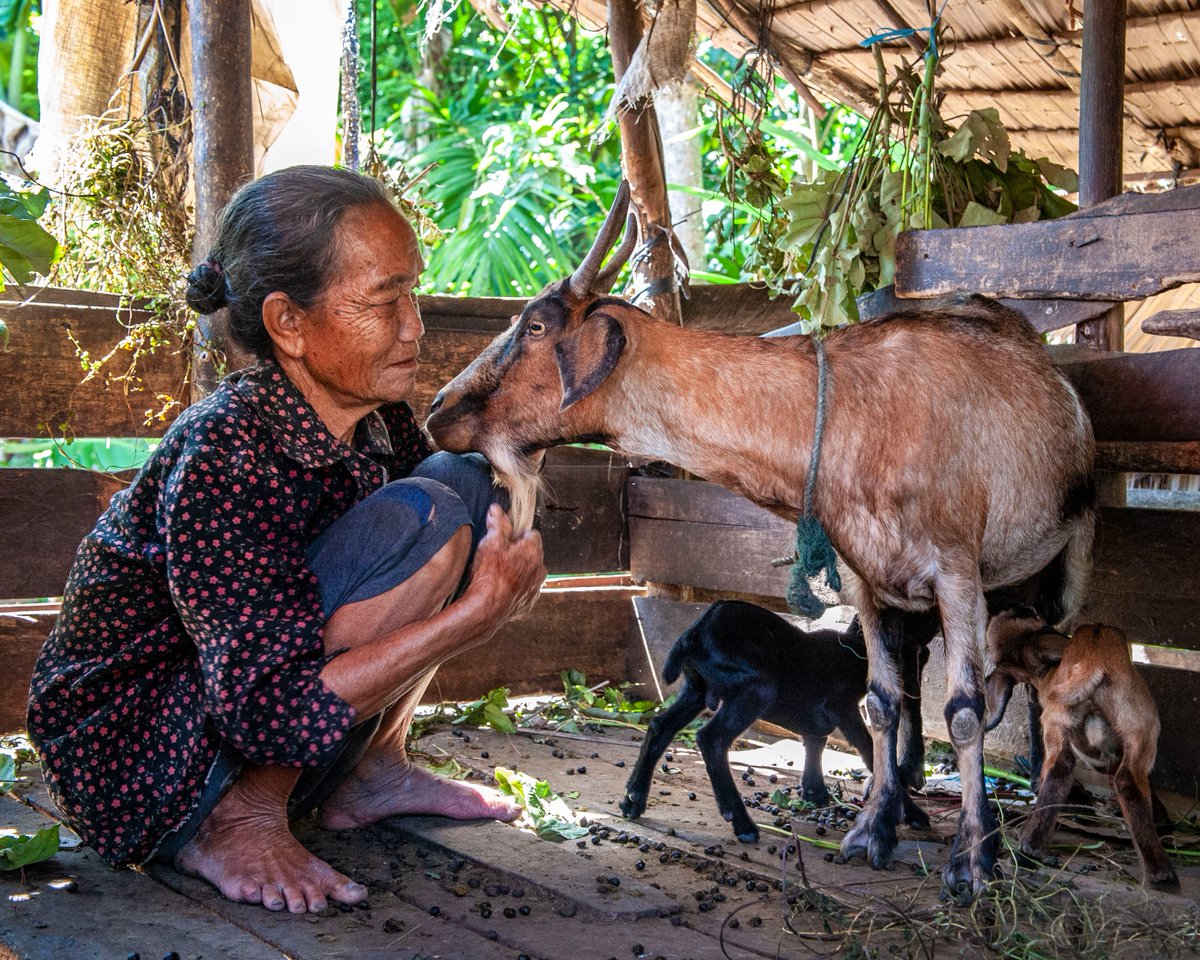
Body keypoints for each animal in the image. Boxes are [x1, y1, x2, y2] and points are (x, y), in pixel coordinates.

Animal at [984, 612, 1180, 888]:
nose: (1022, 606)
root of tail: (1093, 661)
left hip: (1080, 724)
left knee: (1085, 773)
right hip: (1139, 727)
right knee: (1108, 777)